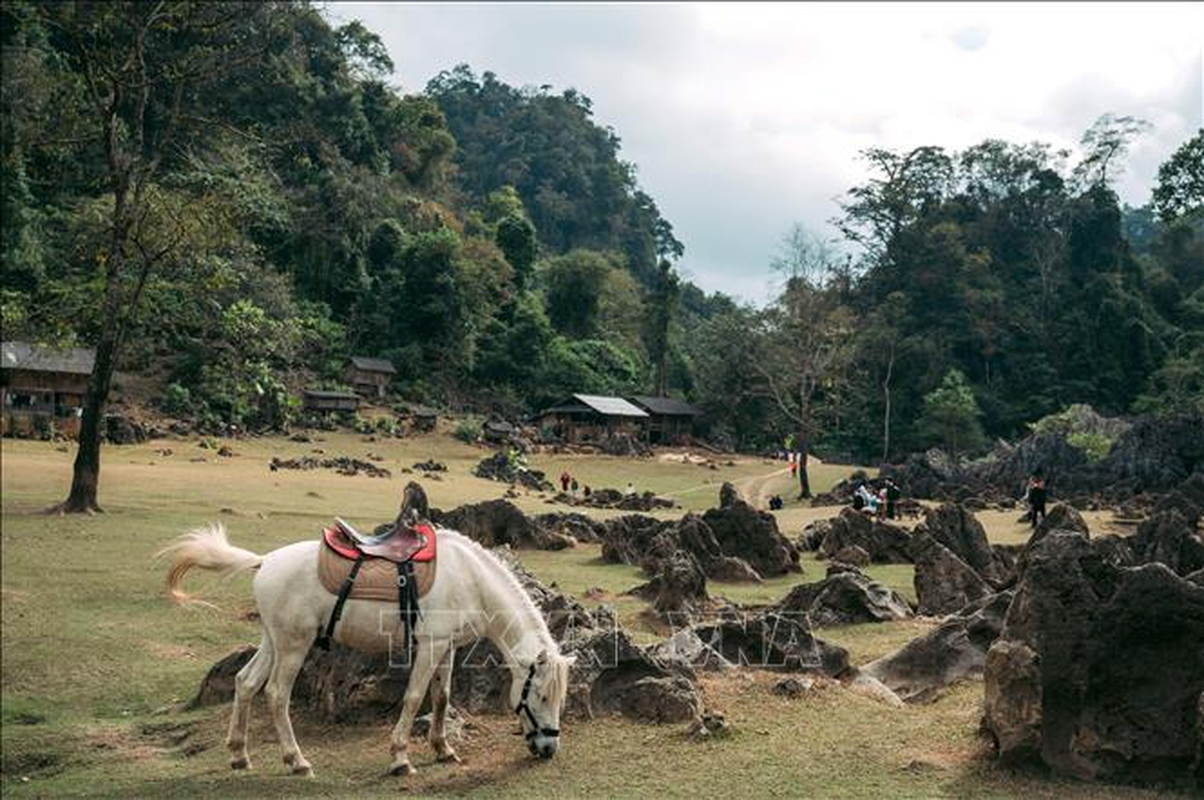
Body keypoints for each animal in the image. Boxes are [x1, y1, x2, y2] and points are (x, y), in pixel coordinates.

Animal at [162, 518, 575, 775]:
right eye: (541, 696)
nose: (549, 749)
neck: (470, 578)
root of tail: (264, 562)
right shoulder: (429, 645)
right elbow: (415, 697)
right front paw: (400, 759)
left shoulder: (447, 647)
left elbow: (441, 698)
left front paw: (443, 749)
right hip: (294, 645)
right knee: (277, 694)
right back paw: (297, 761)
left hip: (274, 641)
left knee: (246, 683)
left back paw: (239, 755)